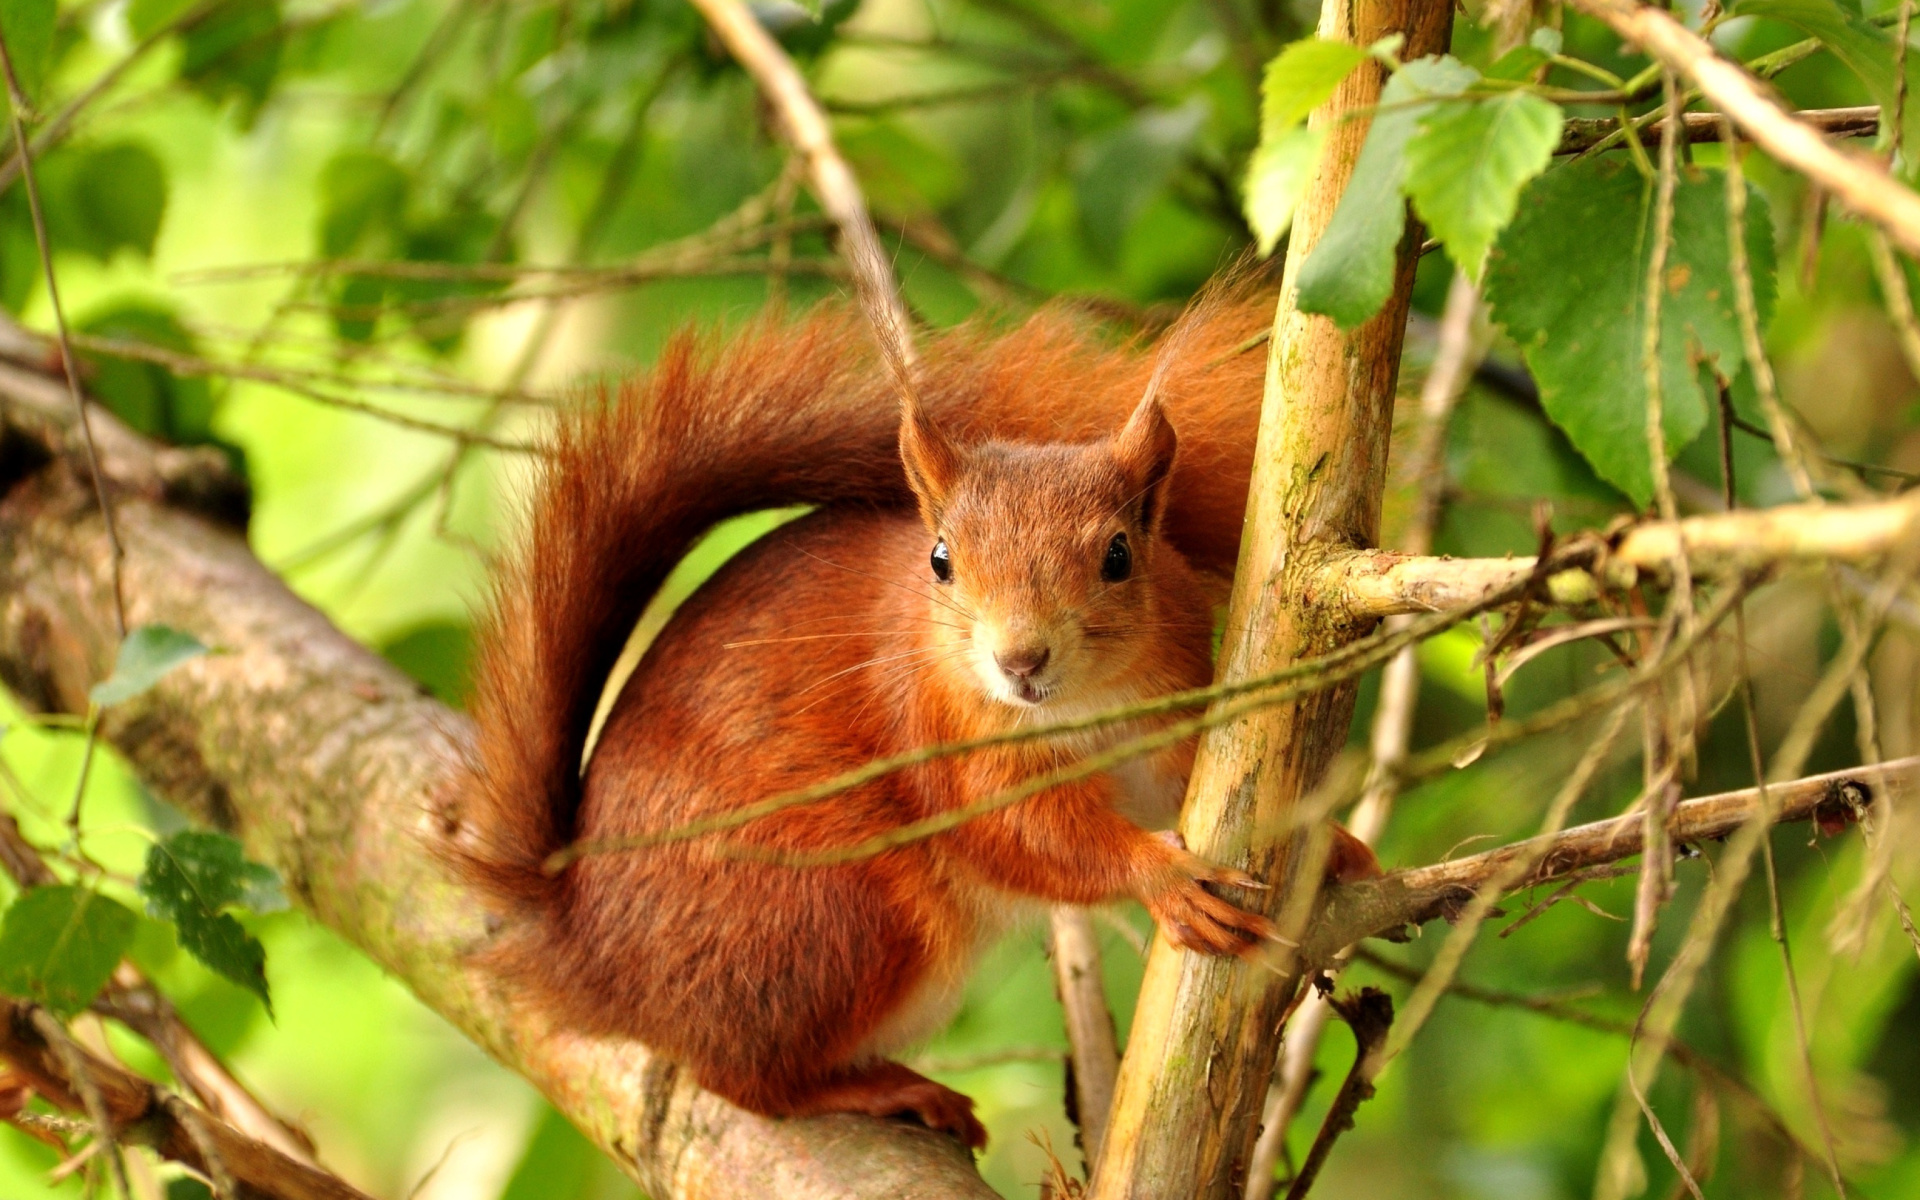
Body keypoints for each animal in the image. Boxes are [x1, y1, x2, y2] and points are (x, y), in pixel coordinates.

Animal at [455, 299, 1374, 1144]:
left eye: (1118, 556)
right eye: (941, 560)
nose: (1020, 660)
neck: (1082, 706)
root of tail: (591, 957)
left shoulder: (1171, 706)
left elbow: (1190, 782)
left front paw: (1330, 841)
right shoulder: (942, 739)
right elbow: (1025, 834)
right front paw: (1164, 878)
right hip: (839, 911)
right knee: (744, 1080)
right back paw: (878, 1089)